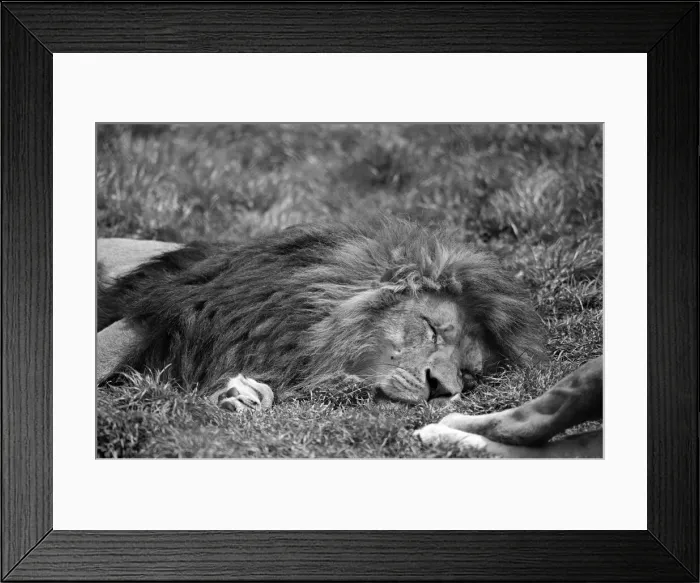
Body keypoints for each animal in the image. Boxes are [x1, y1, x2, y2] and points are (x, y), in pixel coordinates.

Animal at [97, 217, 602, 457]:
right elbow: (105, 351)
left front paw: (242, 397)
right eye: (431, 328)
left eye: (469, 374)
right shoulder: (159, 311)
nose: (441, 389)